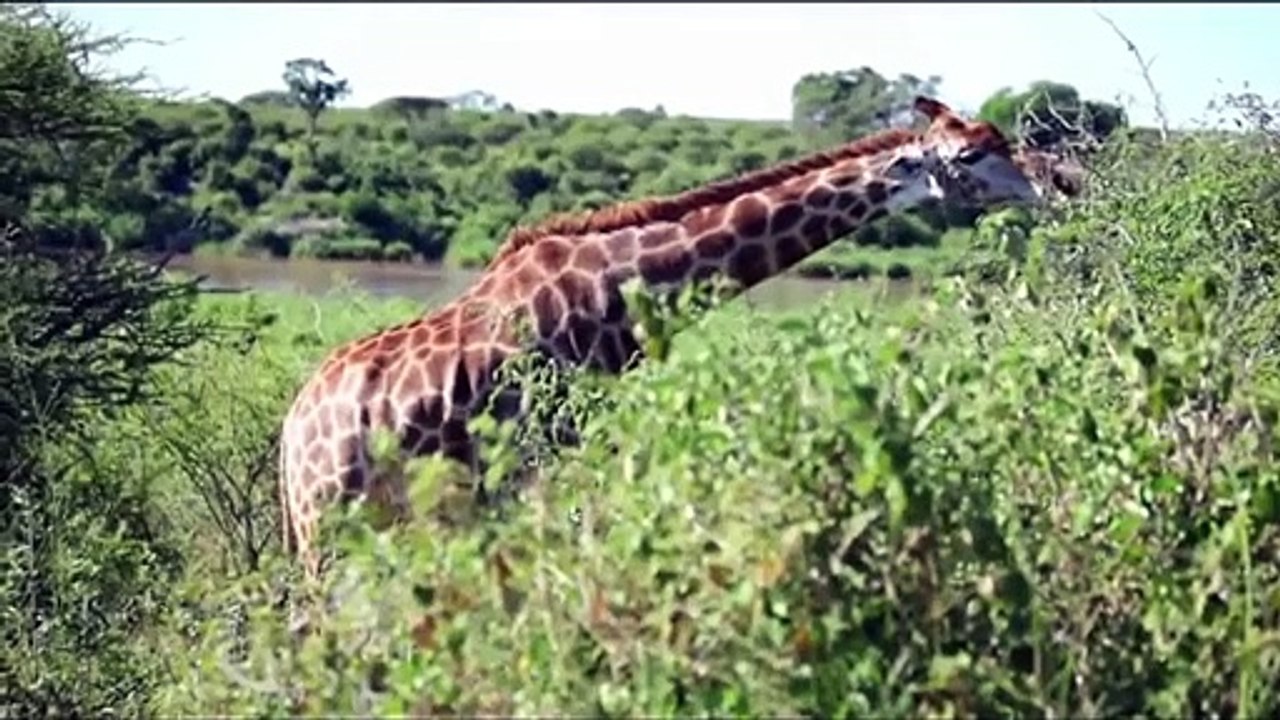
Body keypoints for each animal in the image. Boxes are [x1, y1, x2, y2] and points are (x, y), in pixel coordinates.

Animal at [277, 96, 1059, 578]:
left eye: (1000, 139)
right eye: (969, 157)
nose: (1059, 182)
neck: (622, 292)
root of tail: (290, 434)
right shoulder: (551, 458)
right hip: (330, 518)